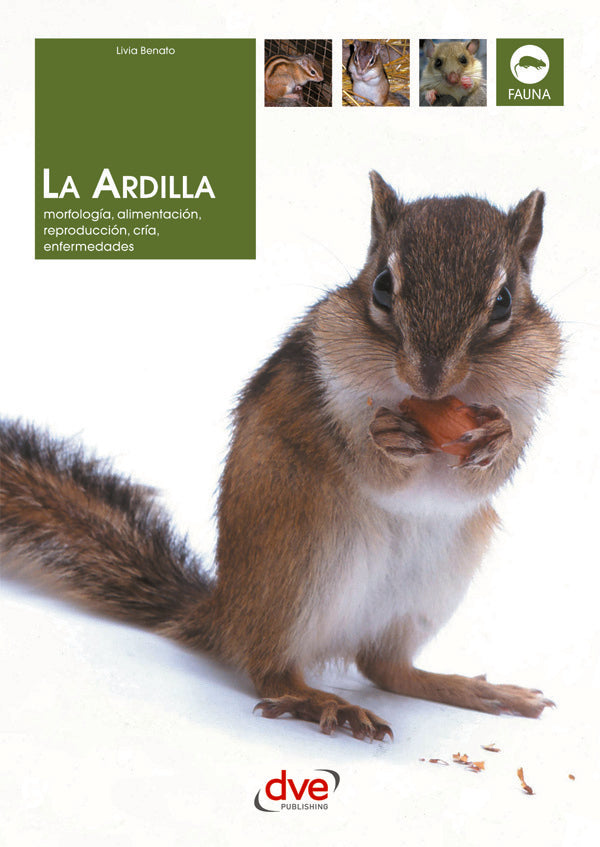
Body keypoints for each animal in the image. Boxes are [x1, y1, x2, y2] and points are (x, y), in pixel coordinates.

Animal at [0, 172, 561, 741]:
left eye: (503, 302)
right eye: (382, 286)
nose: (429, 380)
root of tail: (225, 614)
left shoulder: (528, 399)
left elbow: (483, 475)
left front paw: (496, 437)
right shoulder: (328, 389)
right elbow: (372, 464)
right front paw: (385, 435)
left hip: (427, 591)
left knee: (385, 667)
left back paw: (475, 690)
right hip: (300, 566)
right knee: (271, 670)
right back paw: (321, 701)